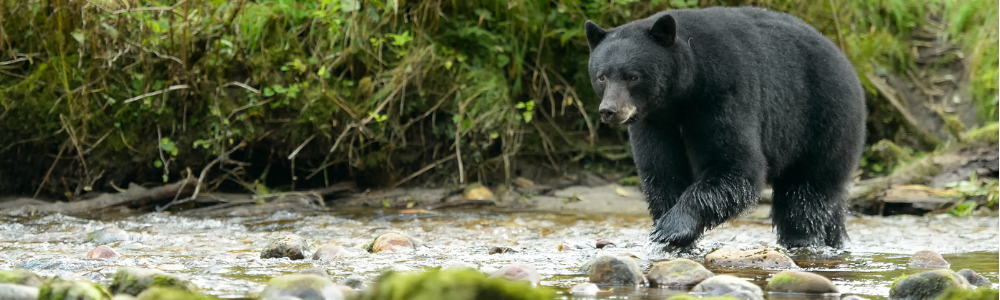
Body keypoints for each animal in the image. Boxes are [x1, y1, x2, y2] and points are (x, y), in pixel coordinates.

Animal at [584, 7, 868, 251]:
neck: (680, 95)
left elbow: (736, 165)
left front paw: (671, 229)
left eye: (633, 76)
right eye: (602, 76)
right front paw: (670, 232)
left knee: (806, 193)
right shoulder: (654, 121)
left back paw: (801, 239)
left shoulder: (724, 94)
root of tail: (847, 62)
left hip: (822, 120)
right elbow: (662, 170)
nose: (609, 110)